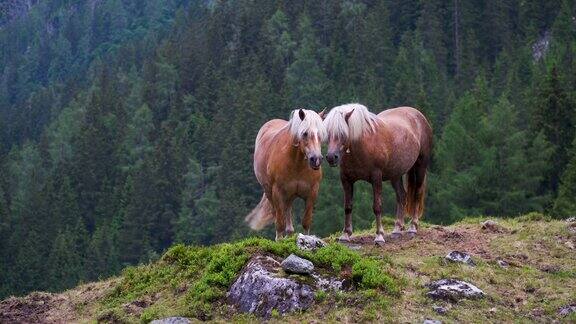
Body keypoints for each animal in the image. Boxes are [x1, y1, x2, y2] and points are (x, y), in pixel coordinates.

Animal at [244, 109, 328, 240]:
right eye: (305, 133)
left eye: (321, 134)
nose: (316, 159)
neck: (297, 164)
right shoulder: (277, 192)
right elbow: (280, 223)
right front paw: (279, 240)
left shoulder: (312, 192)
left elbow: (306, 221)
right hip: (270, 192)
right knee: (278, 215)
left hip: (290, 195)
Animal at [324, 105, 432, 244]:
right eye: (328, 133)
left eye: (343, 133)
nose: (331, 157)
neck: (363, 145)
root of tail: (419, 116)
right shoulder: (346, 179)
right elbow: (348, 206)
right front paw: (345, 235)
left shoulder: (376, 177)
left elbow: (377, 206)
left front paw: (379, 236)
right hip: (395, 175)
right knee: (402, 196)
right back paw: (397, 229)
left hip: (420, 166)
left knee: (417, 194)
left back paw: (413, 227)